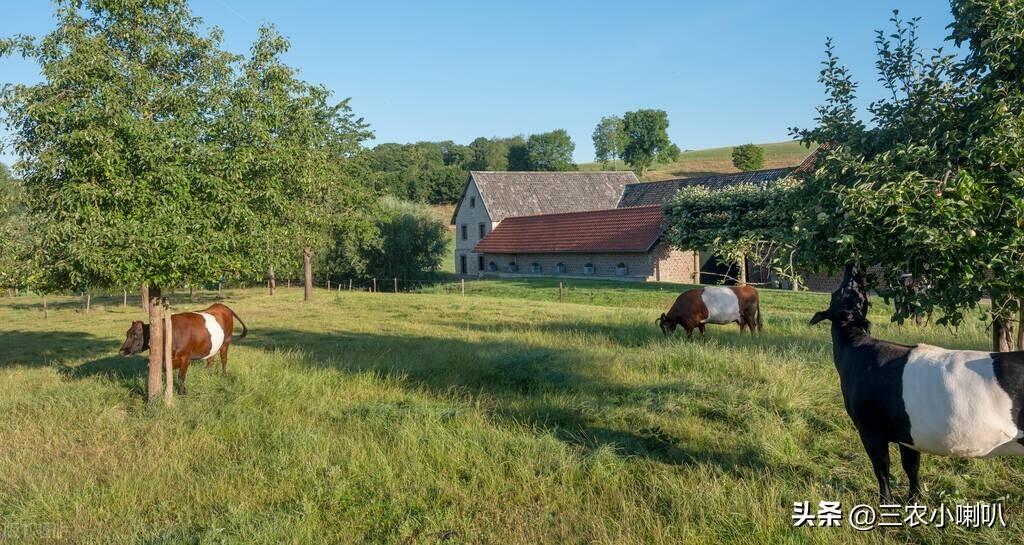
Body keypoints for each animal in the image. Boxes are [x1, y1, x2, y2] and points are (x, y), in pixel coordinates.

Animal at [117, 301, 247, 393]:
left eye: (135, 334)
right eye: (127, 334)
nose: (121, 351)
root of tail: (221, 305)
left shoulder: (185, 357)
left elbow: (181, 376)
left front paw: (182, 392)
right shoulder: (165, 359)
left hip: (226, 341)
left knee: (224, 359)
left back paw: (223, 376)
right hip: (213, 345)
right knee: (211, 359)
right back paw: (209, 375)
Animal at [806, 264, 1024, 501]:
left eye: (841, 291)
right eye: (848, 292)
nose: (852, 266)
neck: (856, 348)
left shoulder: (870, 428)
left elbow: (882, 468)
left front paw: (886, 502)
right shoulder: (908, 432)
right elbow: (911, 466)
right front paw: (914, 498)